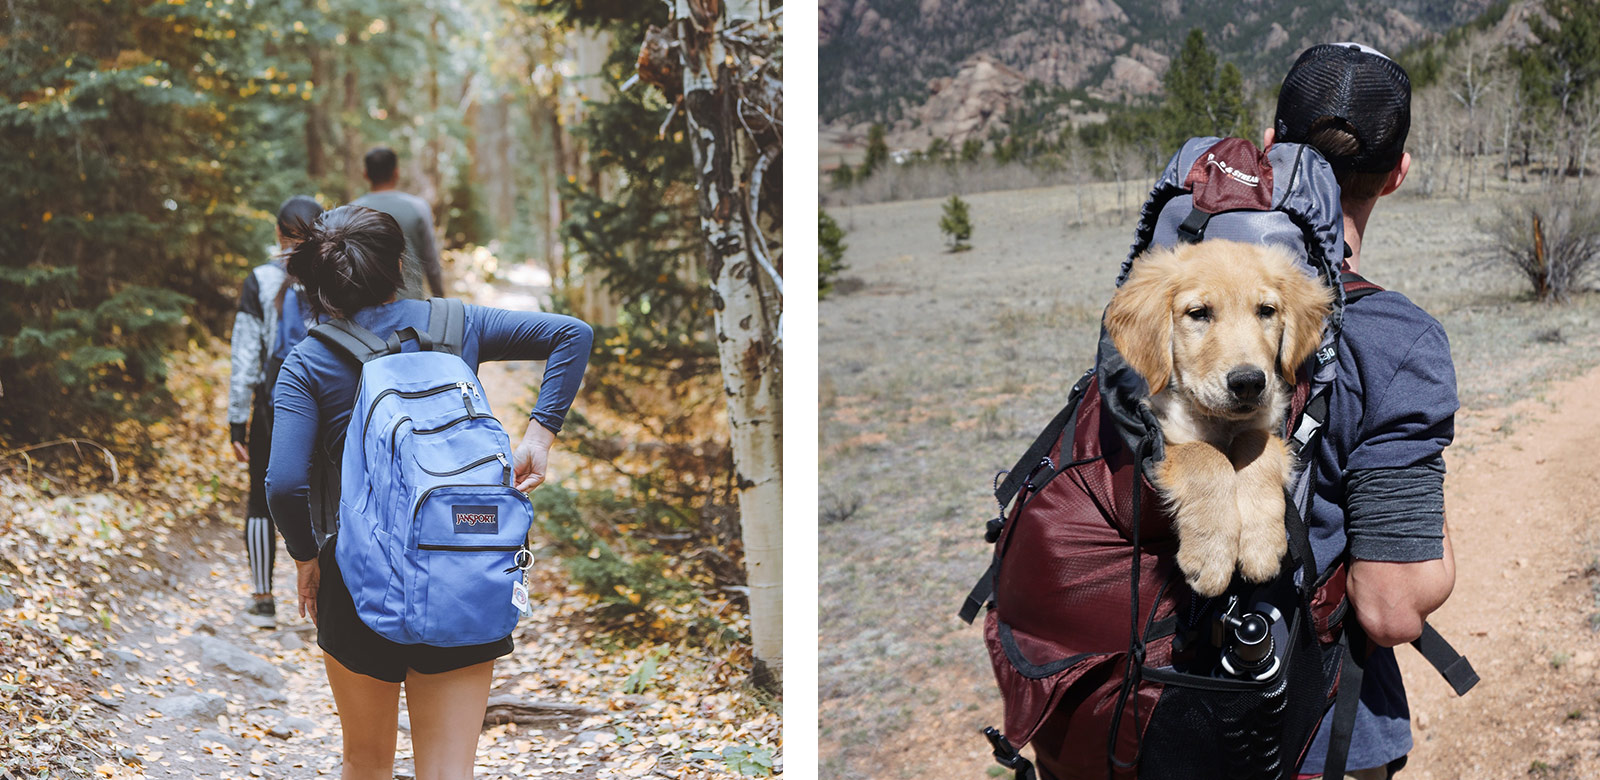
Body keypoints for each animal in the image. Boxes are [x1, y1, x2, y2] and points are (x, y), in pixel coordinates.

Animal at [1107, 241, 1331, 594]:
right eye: (1199, 313)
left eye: (1266, 311)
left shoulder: (1267, 424)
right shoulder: (1164, 436)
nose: (1248, 382)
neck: (1221, 422)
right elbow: (1205, 455)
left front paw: (1260, 545)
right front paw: (1211, 555)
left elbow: (1256, 445)